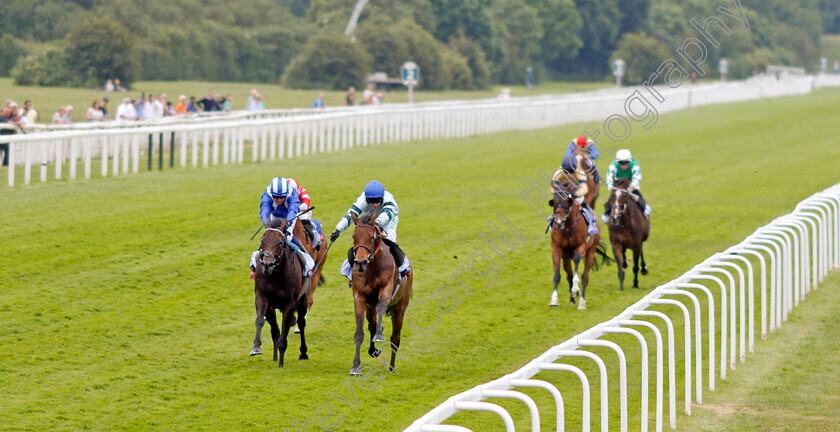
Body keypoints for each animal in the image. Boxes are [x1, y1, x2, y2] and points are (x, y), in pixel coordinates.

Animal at [253, 219, 316, 368]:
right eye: (262, 241)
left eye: (280, 243)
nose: (267, 265)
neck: (275, 274)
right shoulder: (262, 298)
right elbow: (261, 321)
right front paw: (257, 347)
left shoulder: (290, 303)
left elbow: (285, 328)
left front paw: (281, 361)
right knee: (275, 331)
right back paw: (275, 356)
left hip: (302, 300)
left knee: (301, 323)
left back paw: (303, 352)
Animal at [350, 212, 412, 374]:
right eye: (354, 236)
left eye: (371, 236)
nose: (360, 262)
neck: (371, 268)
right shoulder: (360, 297)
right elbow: (359, 333)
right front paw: (355, 366)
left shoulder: (386, 289)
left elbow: (381, 307)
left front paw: (379, 334)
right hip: (370, 307)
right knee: (372, 325)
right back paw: (374, 350)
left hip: (400, 307)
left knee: (395, 337)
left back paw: (391, 366)